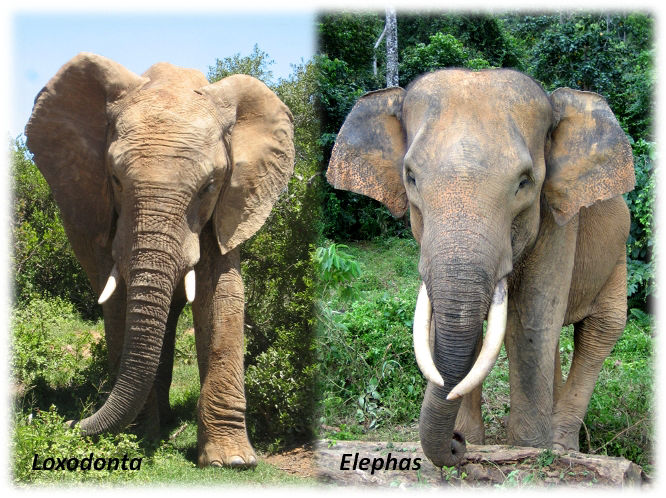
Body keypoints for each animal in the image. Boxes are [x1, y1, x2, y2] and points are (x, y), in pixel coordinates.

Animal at [25, 52, 294, 468]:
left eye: (208, 187)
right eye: (116, 180)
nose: (62, 420)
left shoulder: (229, 206)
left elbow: (222, 295)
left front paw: (231, 462)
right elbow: (119, 300)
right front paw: (138, 439)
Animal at [327, 68, 634, 467]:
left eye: (524, 182)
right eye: (410, 177)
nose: (456, 445)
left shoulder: (557, 221)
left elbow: (531, 320)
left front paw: (527, 450)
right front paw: (477, 442)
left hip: (619, 253)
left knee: (602, 329)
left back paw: (562, 446)